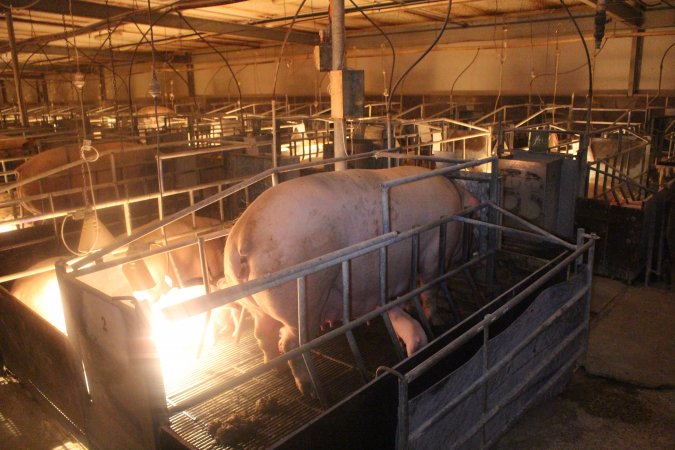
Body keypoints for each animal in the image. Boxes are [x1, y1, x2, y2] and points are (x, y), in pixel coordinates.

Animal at [224, 165, 478, 394]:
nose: (469, 252)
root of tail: (243, 239)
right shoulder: (435, 253)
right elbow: (430, 289)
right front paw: (437, 320)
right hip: (301, 301)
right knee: (292, 345)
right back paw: (309, 390)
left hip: (255, 305)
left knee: (262, 334)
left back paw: (276, 369)